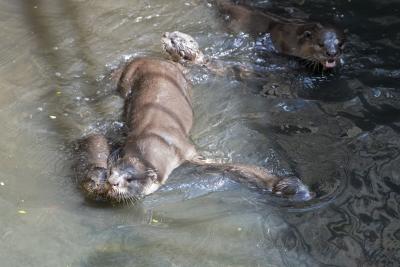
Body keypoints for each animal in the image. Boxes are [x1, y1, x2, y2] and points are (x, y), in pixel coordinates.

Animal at [82, 57, 312, 202]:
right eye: (112, 171)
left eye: (130, 179)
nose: (112, 182)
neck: (155, 138)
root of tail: (147, 58)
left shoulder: (187, 152)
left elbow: (227, 166)